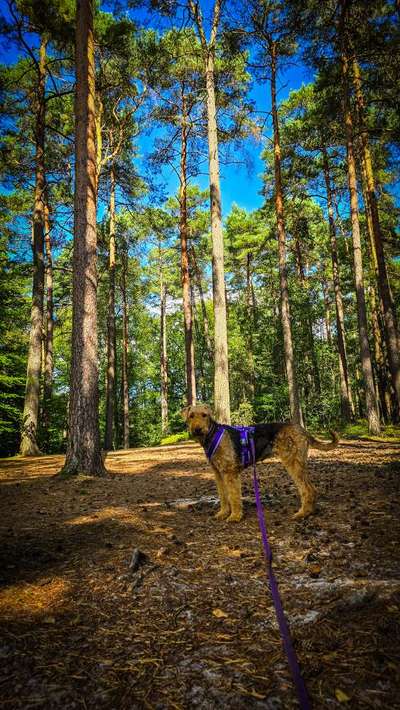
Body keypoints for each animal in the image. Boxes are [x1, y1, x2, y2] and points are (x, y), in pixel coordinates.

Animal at [181, 406, 338, 524]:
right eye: (191, 416)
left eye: (204, 415)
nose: (197, 429)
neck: (211, 435)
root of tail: (302, 430)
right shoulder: (218, 474)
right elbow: (223, 496)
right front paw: (222, 513)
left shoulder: (230, 473)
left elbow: (233, 496)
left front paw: (235, 516)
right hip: (298, 464)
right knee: (312, 488)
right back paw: (310, 512)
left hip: (293, 463)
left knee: (307, 489)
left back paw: (302, 513)